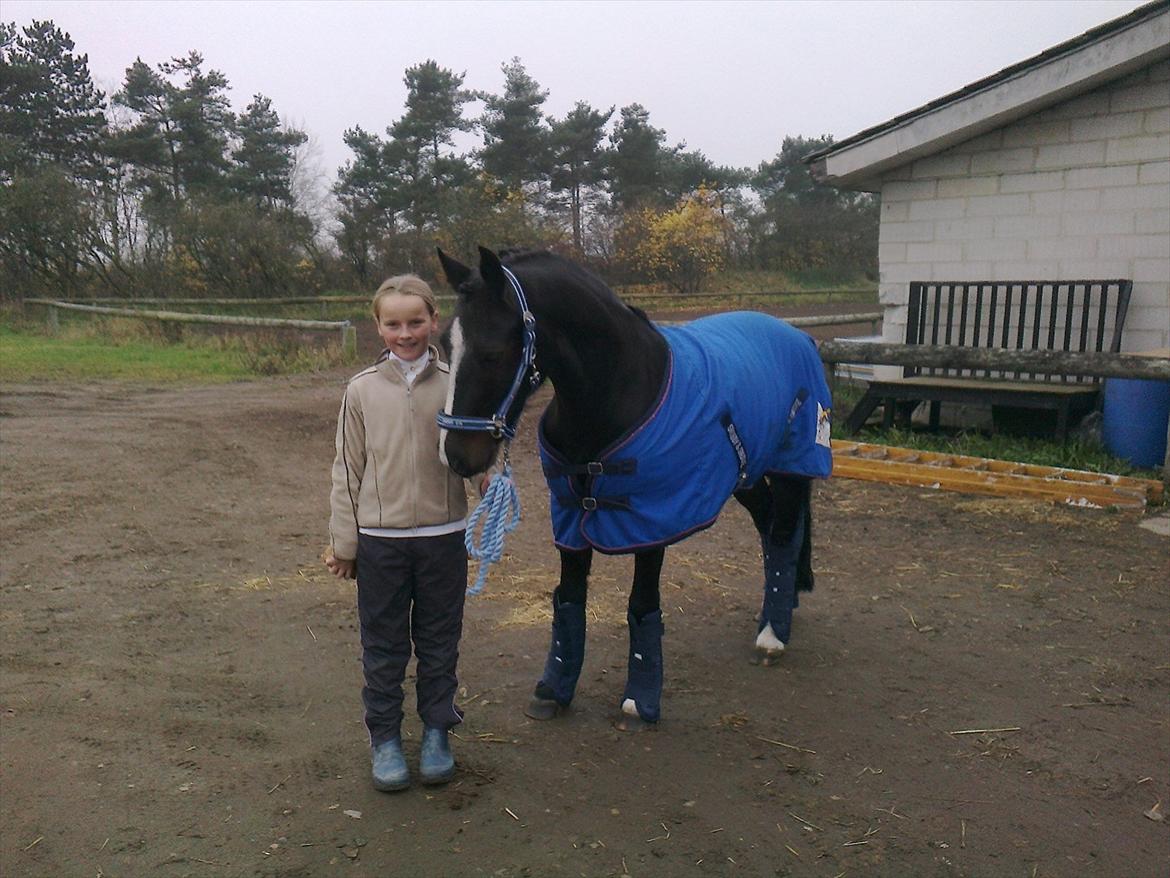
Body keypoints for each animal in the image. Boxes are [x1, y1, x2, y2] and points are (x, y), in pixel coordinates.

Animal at [439, 245, 833, 730]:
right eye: (445, 345)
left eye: (493, 353)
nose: (456, 456)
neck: (615, 391)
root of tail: (795, 336)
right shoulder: (570, 514)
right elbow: (568, 598)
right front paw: (553, 689)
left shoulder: (652, 518)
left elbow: (643, 603)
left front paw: (639, 700)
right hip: (747, 474)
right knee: (771, 524)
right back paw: (775, 612)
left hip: (793, 463)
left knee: (784, 533)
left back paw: (773, 635)